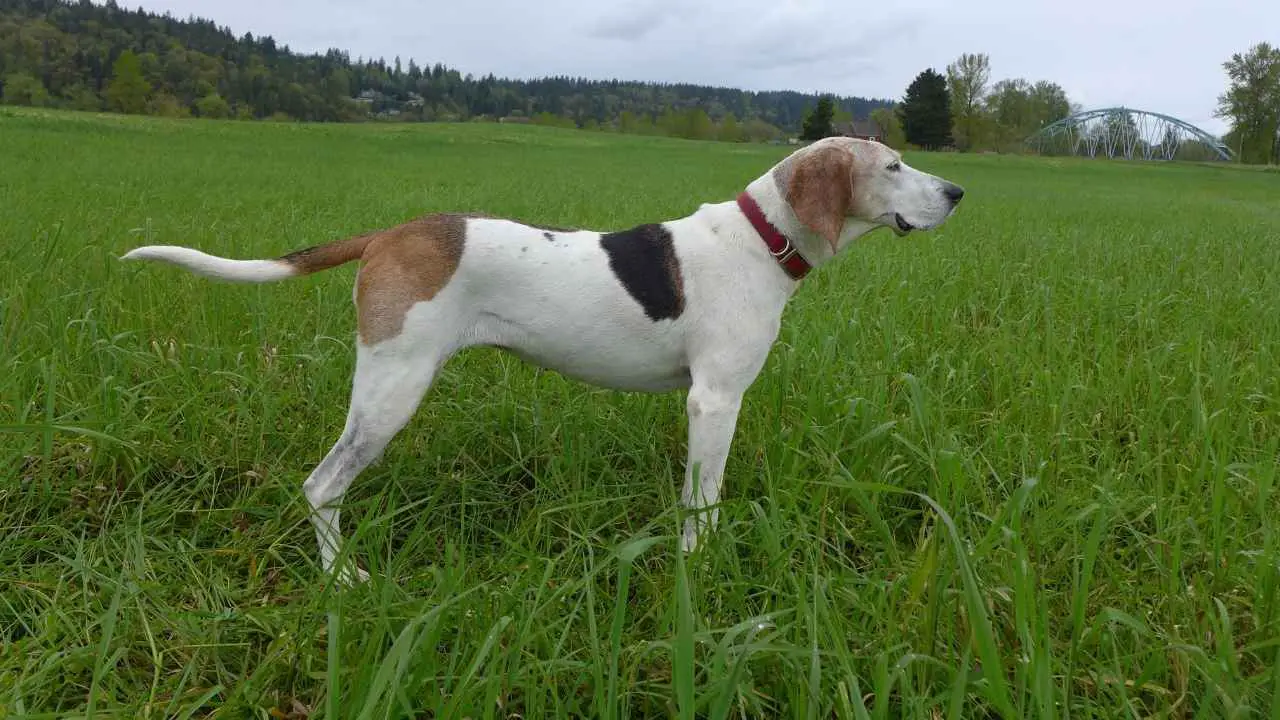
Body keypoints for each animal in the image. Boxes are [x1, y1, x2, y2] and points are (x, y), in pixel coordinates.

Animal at [124, 135, 962, 584]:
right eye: (892, 166)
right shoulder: (714, 399)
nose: (956, 191)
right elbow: (703, 502)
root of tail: (391, 233)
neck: (761, 238)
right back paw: (341, 578)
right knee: (321, 485)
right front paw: (699, 568)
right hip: (392, 388)